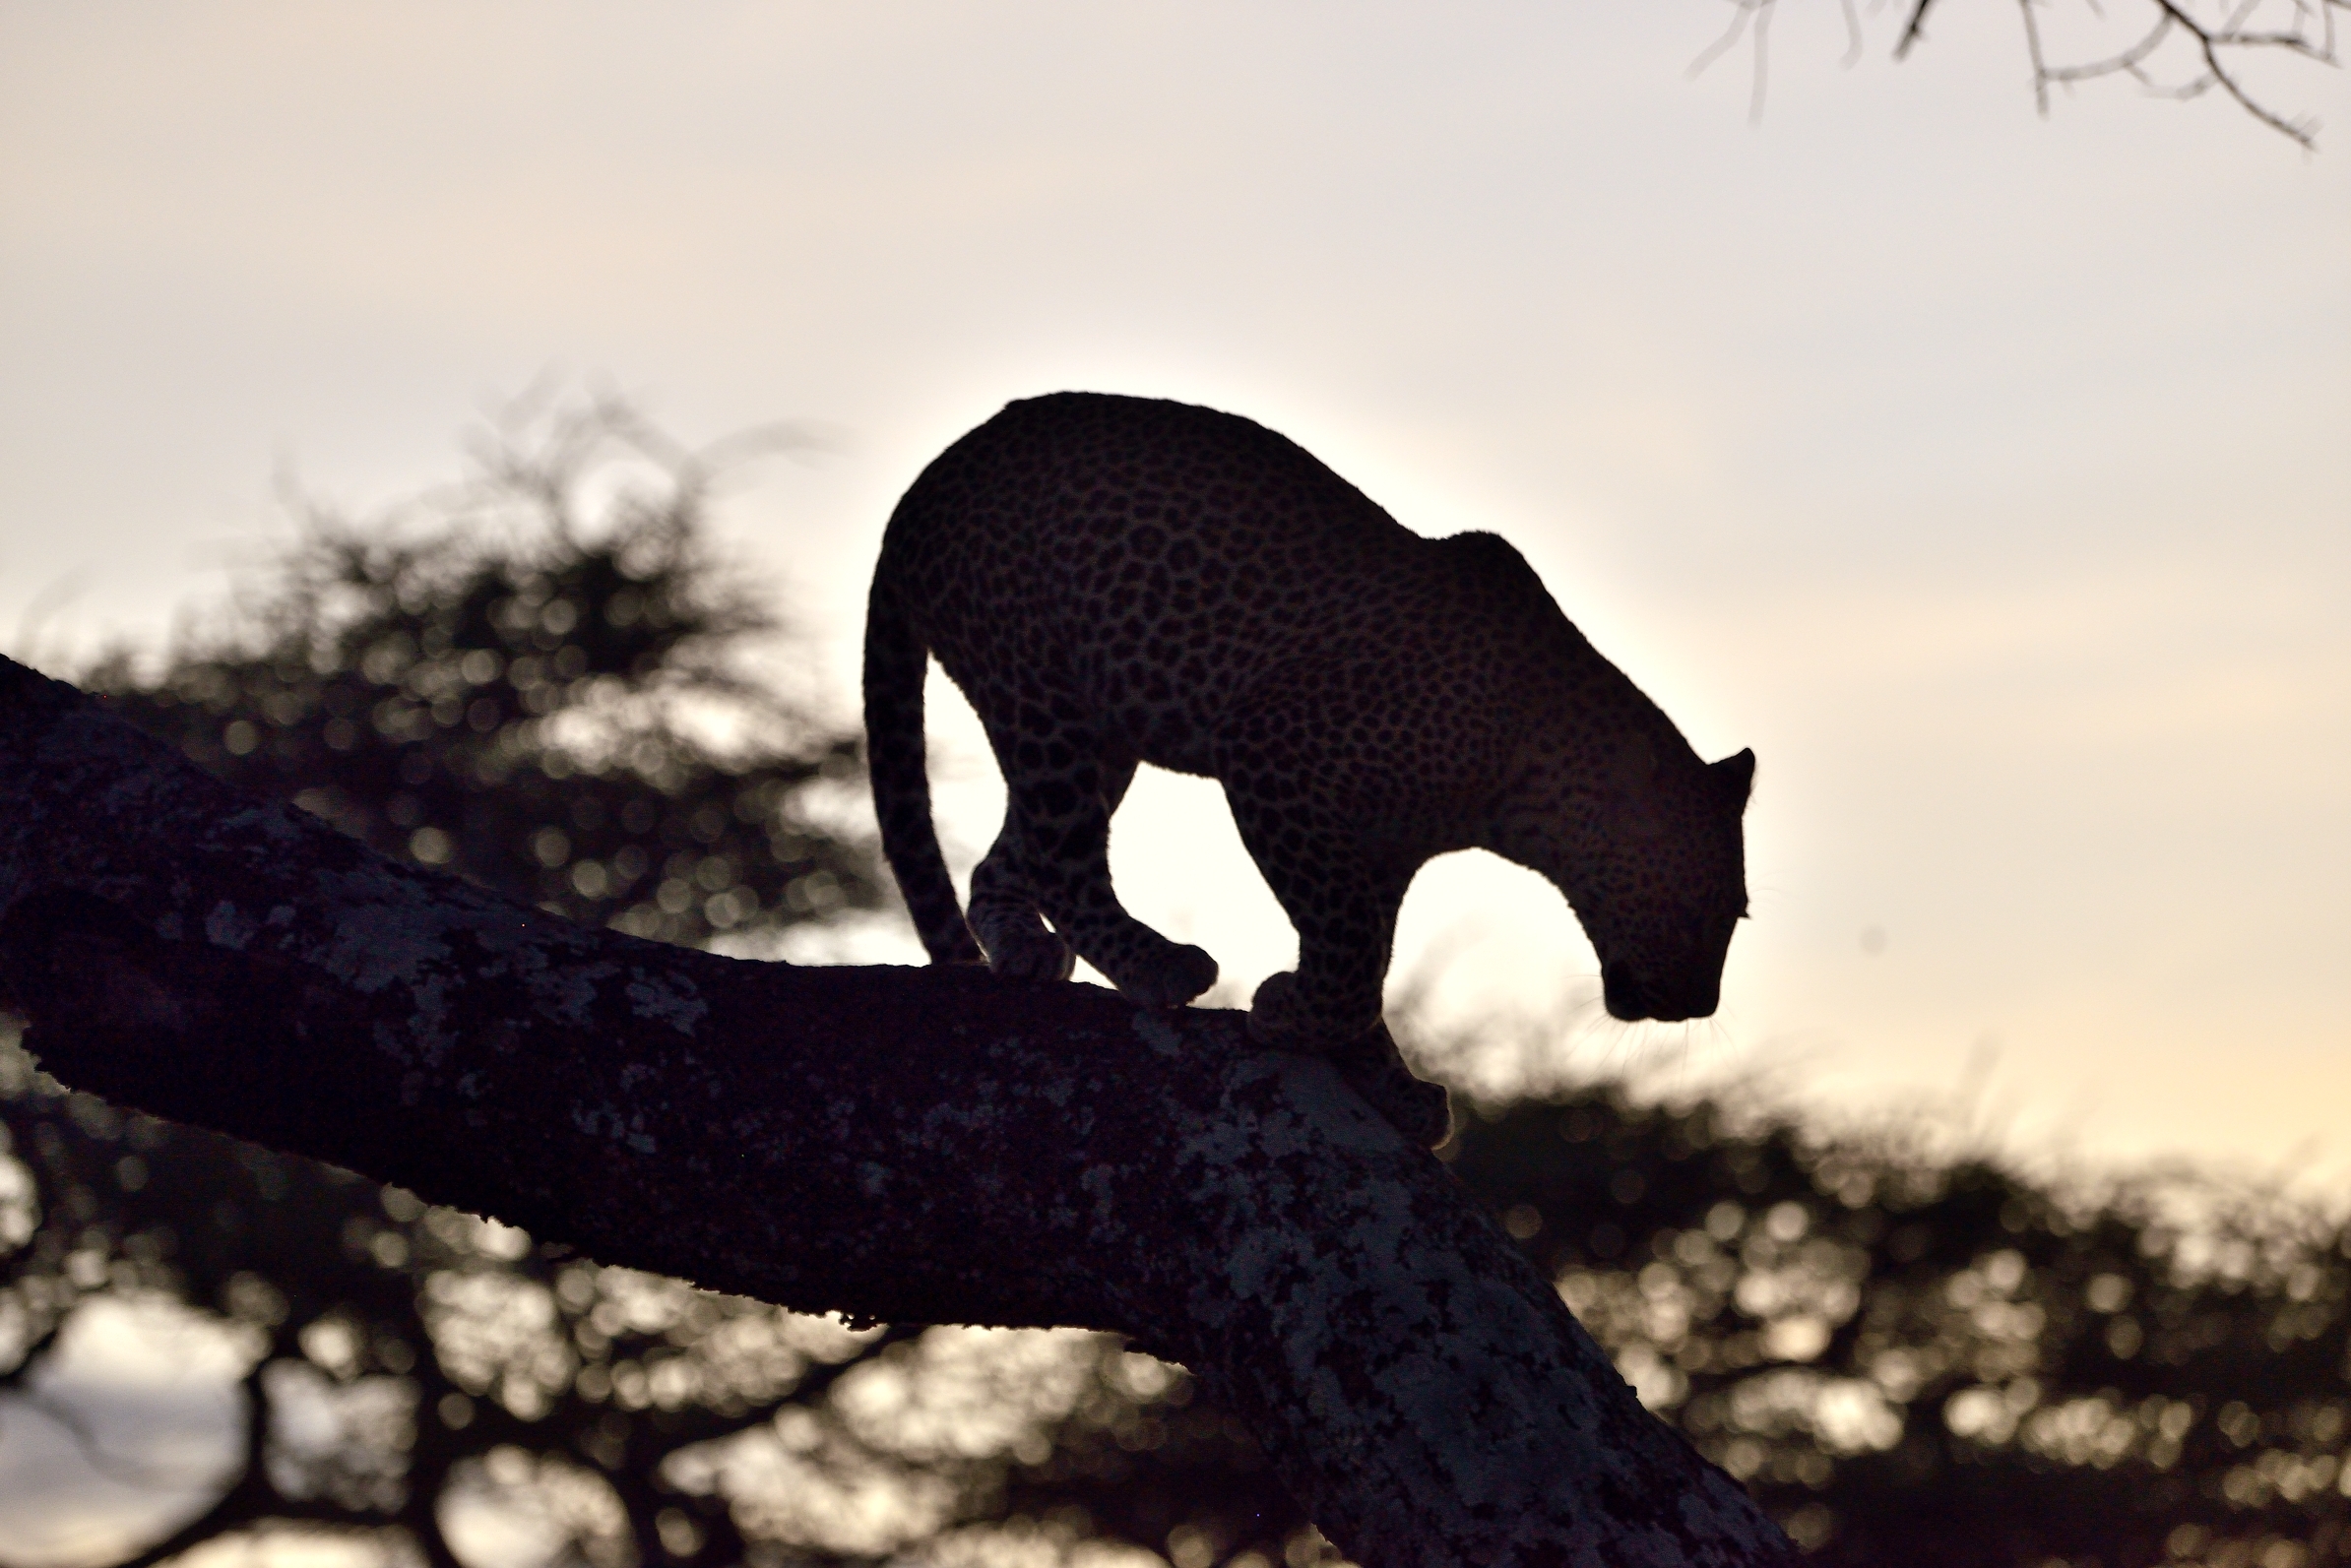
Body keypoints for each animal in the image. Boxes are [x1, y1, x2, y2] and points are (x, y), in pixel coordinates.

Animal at [863, 392, 1754, 1144]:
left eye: (1738, 913)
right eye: (1710, 905)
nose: (1702, 1002)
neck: (1530, 786)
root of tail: (920, 489)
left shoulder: (1380, 852)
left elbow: (1365, 963)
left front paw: (1387, 1077)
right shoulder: (1271, 754)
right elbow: (1352, 958)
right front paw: (1291, 1012)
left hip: (1099, 730)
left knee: (1006, 859)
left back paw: (1025, 949)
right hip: (1040, 693)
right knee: (1061, 857)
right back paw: (1158, 962)